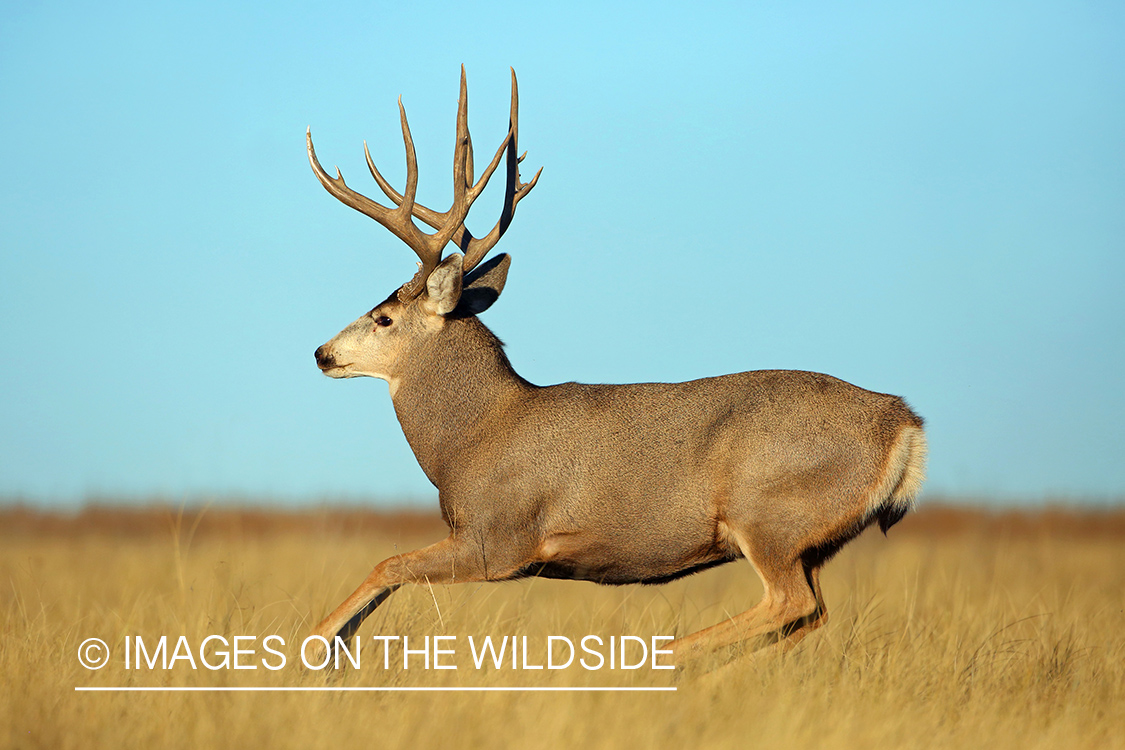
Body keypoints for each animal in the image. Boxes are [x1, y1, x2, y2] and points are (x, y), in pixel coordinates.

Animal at [305, 67, 927, 664]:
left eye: (384, 317)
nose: (322, 353)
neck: (473, 437)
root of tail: (903, 422)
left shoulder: (499, 538)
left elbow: (386, 565)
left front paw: (316, 647)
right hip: (814, 541)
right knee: (810, 614)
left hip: (770, 513)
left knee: (790, 603)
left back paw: (663, 658)